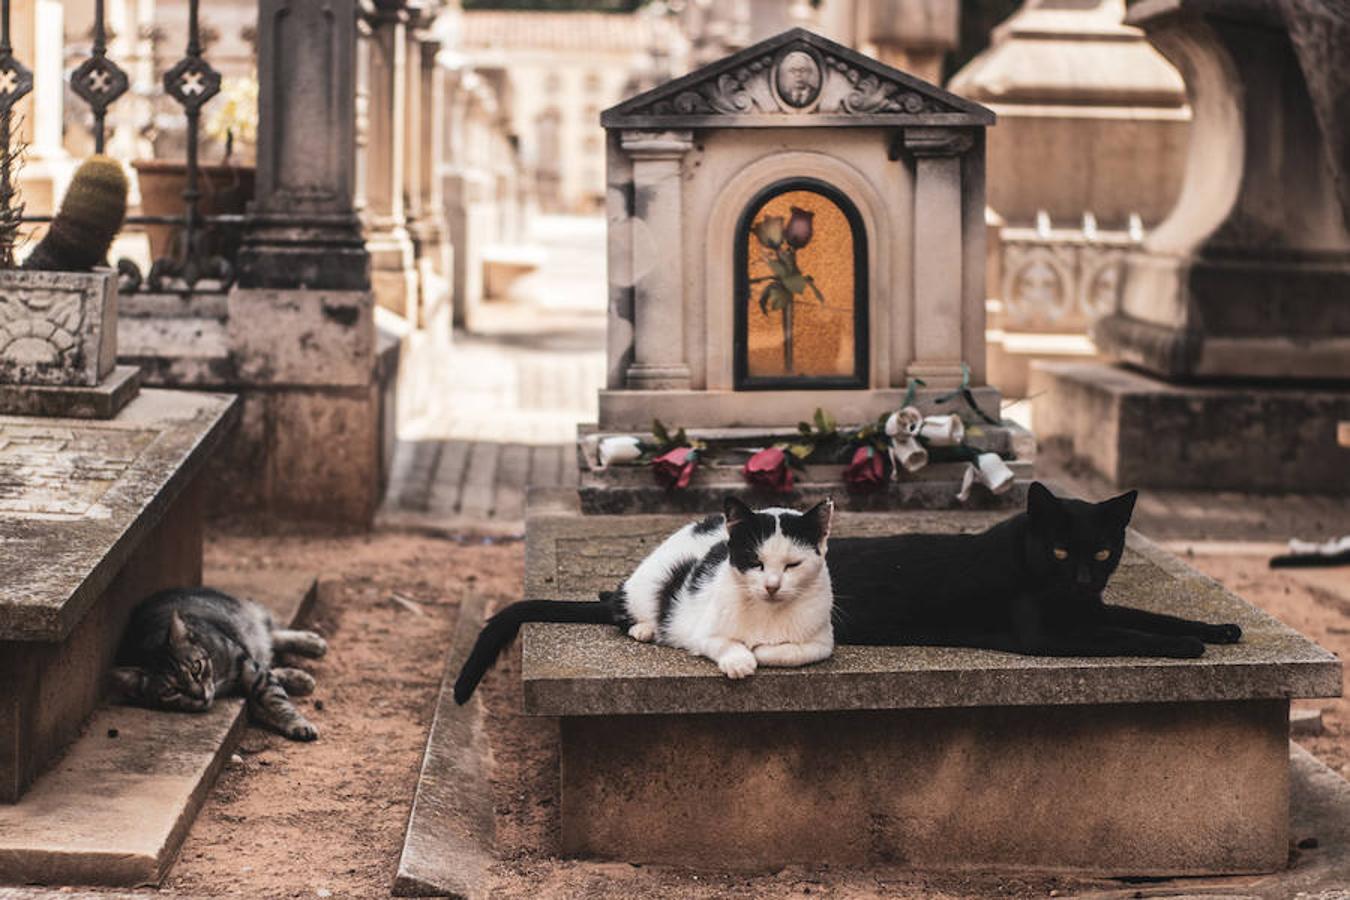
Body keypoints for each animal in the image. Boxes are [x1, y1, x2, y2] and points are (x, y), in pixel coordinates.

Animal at [110, 588, 326, 744]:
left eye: (196, 668)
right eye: (171, 691)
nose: (200, 695)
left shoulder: (244, 662)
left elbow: (274, 698)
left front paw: (297, 723)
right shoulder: (248, 667)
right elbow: (269, 687)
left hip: (245, 619)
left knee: (269, 634)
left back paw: (313, 643)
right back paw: (301, 676)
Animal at [453, 496, 831, 707]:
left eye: (793, 565)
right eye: (755, 562)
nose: (771, 587)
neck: (767, 613)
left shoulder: (823, 642)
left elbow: (789, 652)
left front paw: (761, 650)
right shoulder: (701, 632)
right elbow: (724, 643)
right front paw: (740, 659)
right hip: (649, 584)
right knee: (618, 604)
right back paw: (644, 628)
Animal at [831, 483, 1242, 658]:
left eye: (1102, 553)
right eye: (1059, 551)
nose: (1083, 581)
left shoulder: (1093, 608)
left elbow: (1153, 617)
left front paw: (1219, 629)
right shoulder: (1049, 632)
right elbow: (1125, 634)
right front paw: (1185, 644)